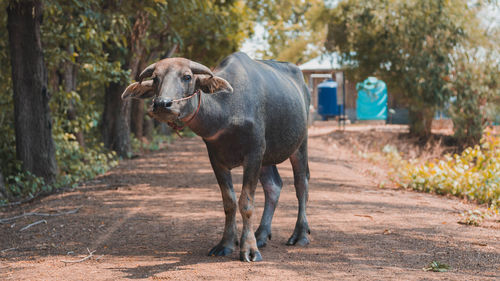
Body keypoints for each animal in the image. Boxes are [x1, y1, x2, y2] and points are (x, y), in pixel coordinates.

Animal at [122, 50, 308, 260]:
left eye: (187, 77)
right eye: (155, 78)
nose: (162, 104)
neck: (227, 114)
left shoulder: (253, 154)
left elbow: (246, 203)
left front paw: (249, 249)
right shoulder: (216, 159)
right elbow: (229, 202)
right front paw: (226, 243)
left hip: (300, 145)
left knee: (301, 185)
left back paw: (299, 235)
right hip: (267, 159)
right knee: (273, 186)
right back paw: (261, 234)